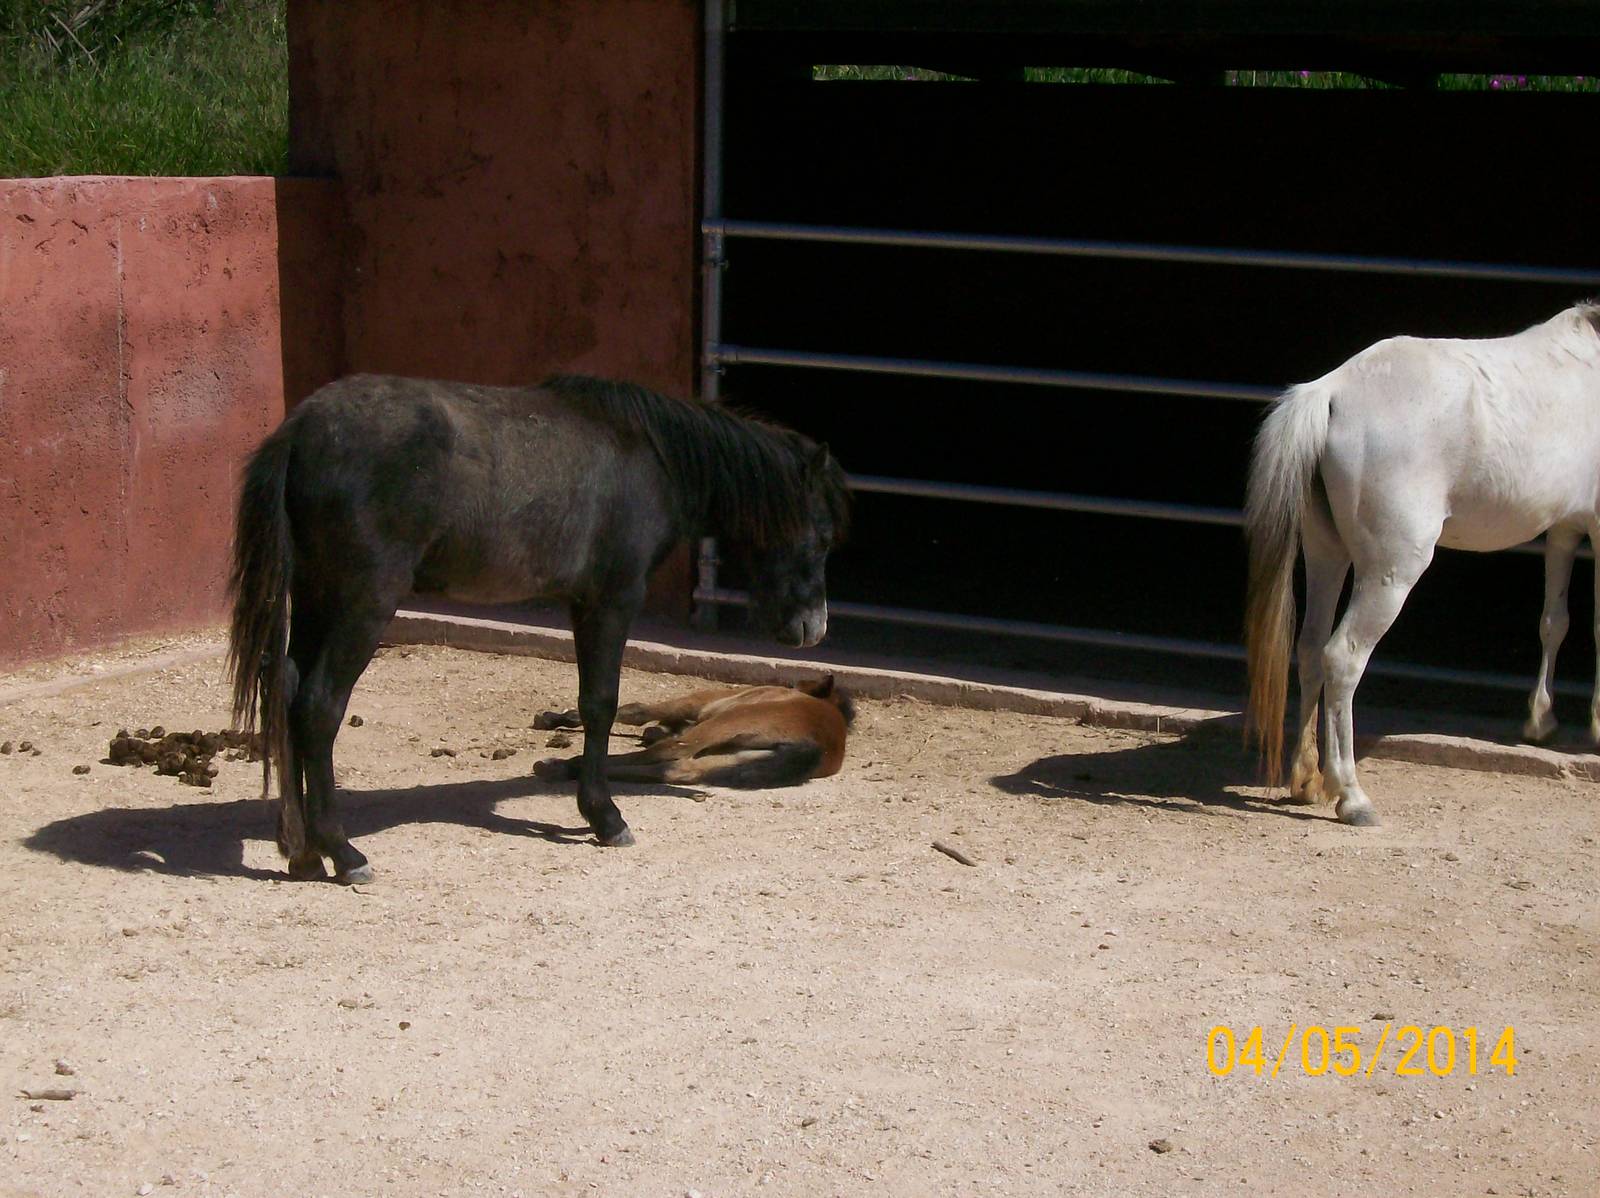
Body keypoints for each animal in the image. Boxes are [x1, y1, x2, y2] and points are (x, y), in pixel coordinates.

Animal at [532, 674, 855, 787]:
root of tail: (820, 743)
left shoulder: (696, 704)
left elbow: (635, 712)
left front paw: (552, 718)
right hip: (732, 756)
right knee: (678, 769)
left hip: (721, 725)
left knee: (669, 752)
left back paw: (563, 765)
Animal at [1245, 301, 1600, 827]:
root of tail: (1330, 392)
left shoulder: (1564, 530)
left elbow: (1554, 622)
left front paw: (1541, 721)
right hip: (1390, 574)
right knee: (1342, 658)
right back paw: (1352, 796)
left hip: (1327, 554)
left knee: (1309, 648)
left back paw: (1307, 779)